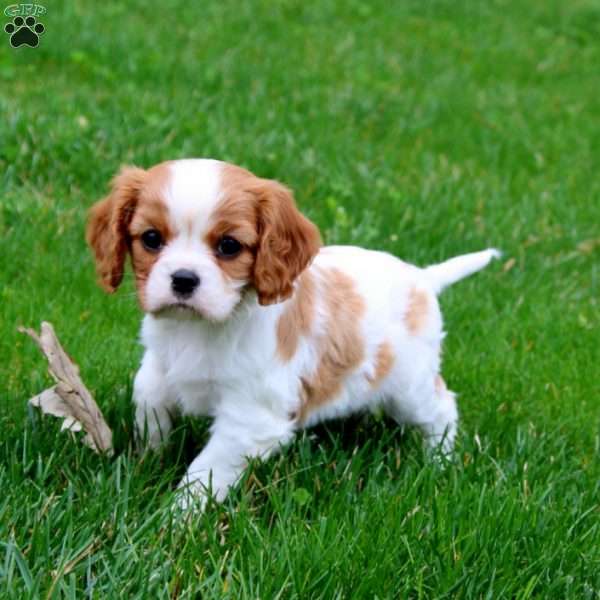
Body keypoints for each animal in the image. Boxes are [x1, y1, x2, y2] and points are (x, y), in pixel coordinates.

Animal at [84, 158, 496, 506]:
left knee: (441, 409)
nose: (184, 279)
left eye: (229, 246)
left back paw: (439, 461)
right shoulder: (159, 368)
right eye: (151, 239)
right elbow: (150, 404)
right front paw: (146, 463)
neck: (198, 330)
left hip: (409, 388)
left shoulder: (250, 419)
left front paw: (174, 520)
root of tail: (423, 278)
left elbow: (204, 473)